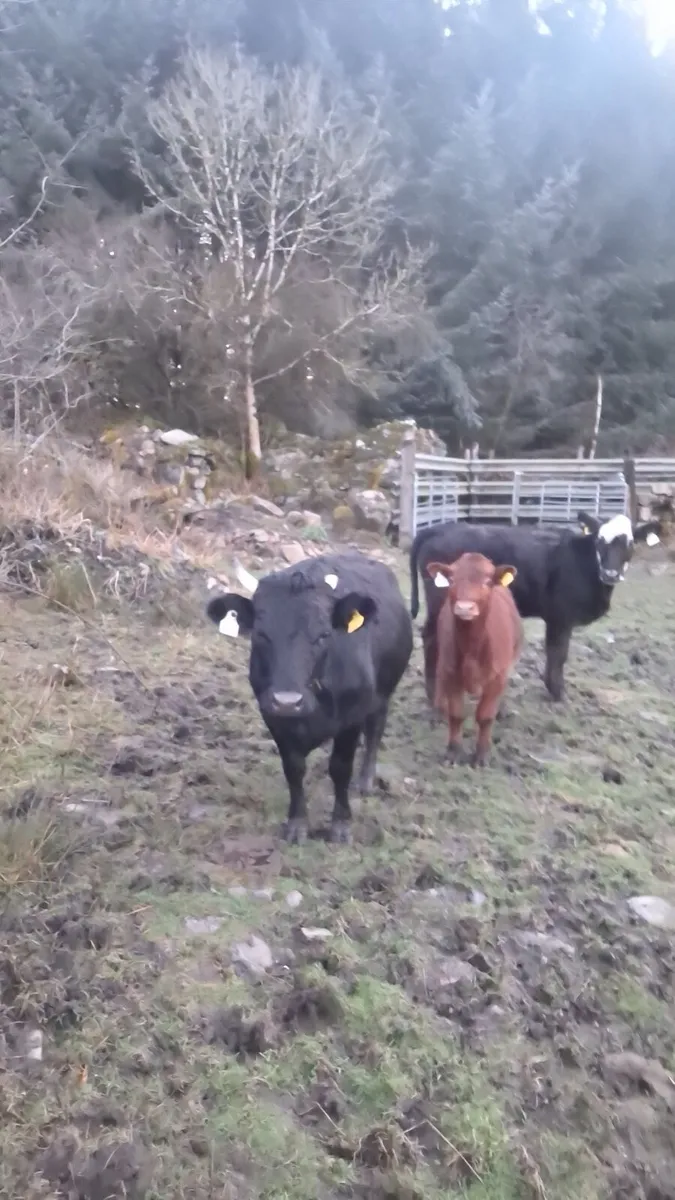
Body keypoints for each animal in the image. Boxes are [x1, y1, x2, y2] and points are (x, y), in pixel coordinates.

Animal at [206, 552, 413, 845]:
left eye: (324, 634)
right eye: (260, 633)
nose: (288, 701)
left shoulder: (351, 719)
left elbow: (340, 768)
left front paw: (340, 825)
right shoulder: (273, 717)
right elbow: (293, 768)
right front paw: (297, 824)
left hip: (384, 692)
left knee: (375, 729)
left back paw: (365, 781)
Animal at [410, 511, 661, 706]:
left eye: (630, 544)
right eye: (600, 541)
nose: (610, 573)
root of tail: (440, 528)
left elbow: (553, 653)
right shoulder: (561, 617)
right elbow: (558, 653)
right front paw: (558, 693)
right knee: (431, 638)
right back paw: (434, 696)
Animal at [427, 553, 523, 765]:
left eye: (487, 581)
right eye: (452, 579)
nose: (465, 608)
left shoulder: (497, 676)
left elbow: (485, 716)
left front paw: (482, 754)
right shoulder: (451, 672)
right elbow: (456, 714)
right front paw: (453, 751)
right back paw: (437, 711)